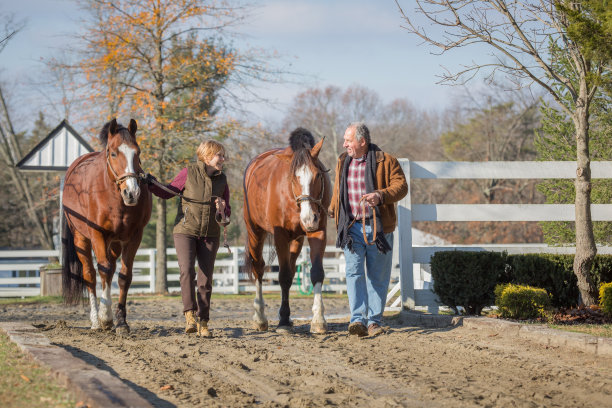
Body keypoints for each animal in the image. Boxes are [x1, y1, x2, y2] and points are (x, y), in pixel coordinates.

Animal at [61, 118, 152, 334]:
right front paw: (105, 317)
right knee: (91, 274)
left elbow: (124, 276)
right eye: (113, 153)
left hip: (115, 243)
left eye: (138, 152)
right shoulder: (97, 234)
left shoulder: (134, 236)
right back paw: (96, 320)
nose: (132, 193)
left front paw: (121, 321)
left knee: (110, 271)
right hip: (81, 238)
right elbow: (101, 269)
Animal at [243, 128, 330, 334]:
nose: (309, 218)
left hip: (297, 239)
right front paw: (282, 322)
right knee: (259, 268)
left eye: (318, 175)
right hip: (255, 232)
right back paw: (260, 317)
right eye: (293, 178)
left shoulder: (318, 233)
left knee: (290, 272)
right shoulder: (280, 236)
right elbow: (282, 277)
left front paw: (318, 319)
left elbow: (316, 273)